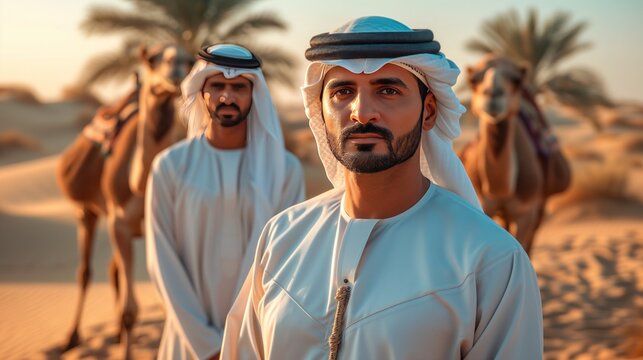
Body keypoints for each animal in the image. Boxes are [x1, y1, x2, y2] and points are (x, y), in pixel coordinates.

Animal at [57, 44, 194, 358]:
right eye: (153, 59)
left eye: (190, 60)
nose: (176, 67)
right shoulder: (118, 223)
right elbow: (130, 310)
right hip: (87, 211)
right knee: (86, 272)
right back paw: (72, 337)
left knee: (113, 270)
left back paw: (117, 335)